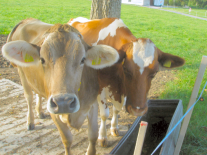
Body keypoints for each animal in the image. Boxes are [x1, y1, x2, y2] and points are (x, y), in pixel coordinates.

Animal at [1, 18, 119, 155]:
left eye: (82, 59)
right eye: (42, 59)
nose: (64, 102)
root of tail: (27, 20)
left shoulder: (92, 103)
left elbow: (93, 135)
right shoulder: (53, 109)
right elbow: (67, 139)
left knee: (38, 93)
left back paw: (39, 111)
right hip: (21, 72)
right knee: (29, 96)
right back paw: (30, 121)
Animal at [68, 17, 186, 147]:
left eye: (155, 73)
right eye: (126, 69)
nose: (138, 110)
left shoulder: (124, 91)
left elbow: (116, 110)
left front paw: (114, 128)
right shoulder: (100, 88)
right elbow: (104, 114)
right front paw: (102, 137)